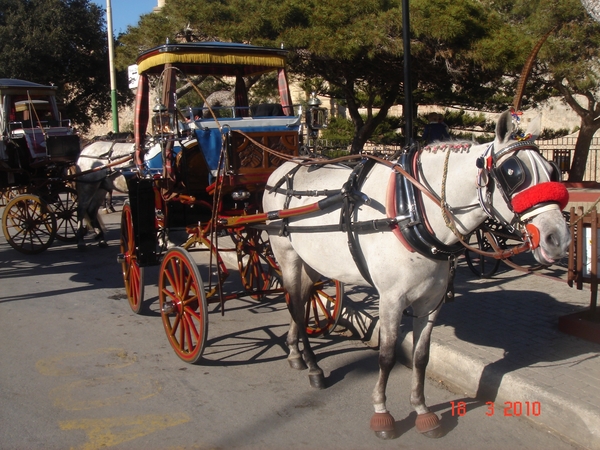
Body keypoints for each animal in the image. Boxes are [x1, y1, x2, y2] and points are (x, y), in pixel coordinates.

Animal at [264, 110, 572, 440]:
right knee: (296, 307)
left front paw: (422, 410)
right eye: (513, 172)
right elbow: (386, 355)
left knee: (301, 299)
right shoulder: (391, 299)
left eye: (553, 170)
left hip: (310, 260)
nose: (558, 238)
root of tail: (283, 169)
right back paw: (312, 366)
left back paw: (296, 354)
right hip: (286, 255)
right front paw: (382, 413)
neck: (411, 210)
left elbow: (421, 356)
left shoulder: (431, 301)